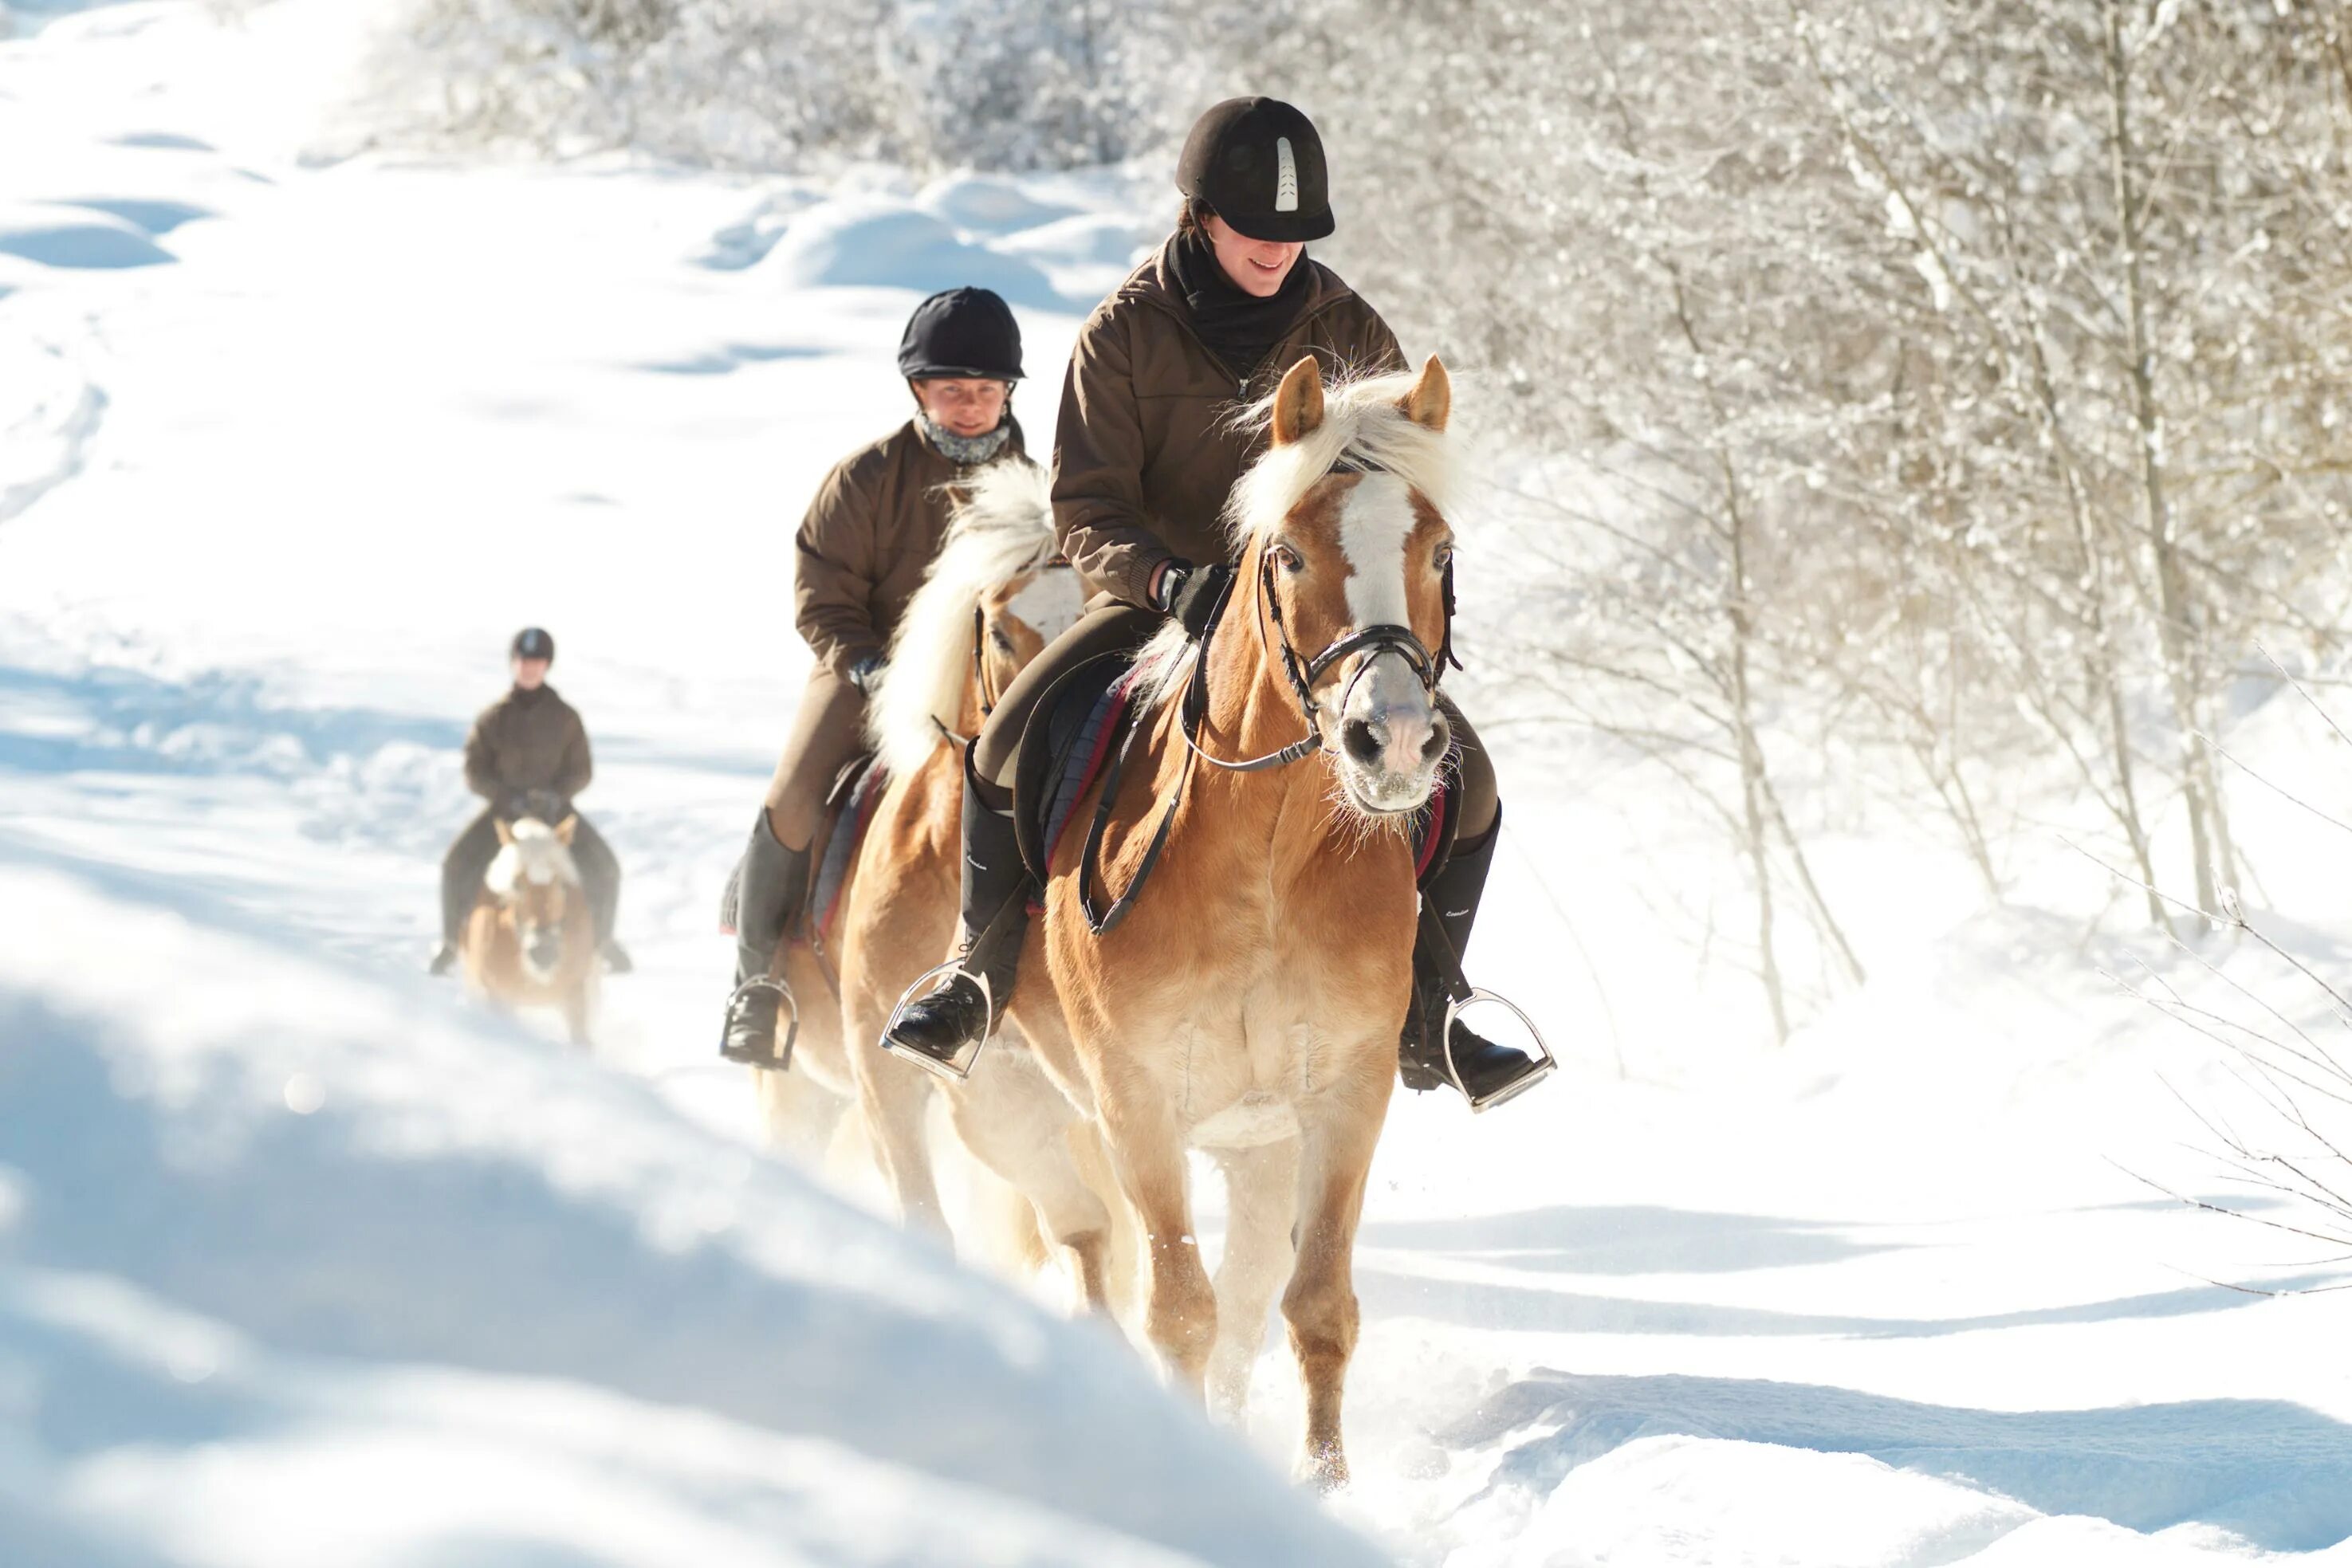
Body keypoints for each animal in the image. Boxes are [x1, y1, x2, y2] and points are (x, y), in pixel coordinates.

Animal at [992, 360, 1467, 1495]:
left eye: (1439, 550)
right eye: (1288, 551)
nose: (1392, 740)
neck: (1264, 865)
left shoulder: (1343, 1099)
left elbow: (1312, 1306)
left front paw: (1323, 1485)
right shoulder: (1135, 1104)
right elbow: (1178, 1306)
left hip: (1258, 1145)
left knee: (1247, 1301)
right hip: (1021, 1103)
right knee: (1094, 1252)